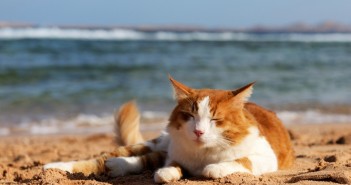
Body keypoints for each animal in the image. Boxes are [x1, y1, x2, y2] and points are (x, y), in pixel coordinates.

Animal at [45, 76, 296, 183]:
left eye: (215, 119)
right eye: (190, 116)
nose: (198, 132)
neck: (203, 153)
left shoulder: (265, 156)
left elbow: (239, 161)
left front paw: (213, 168)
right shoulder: (175, 155)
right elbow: (171, 165)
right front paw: (168, 173)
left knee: (143, 159)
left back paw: (118, 167)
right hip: (155, 143)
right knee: (109, 158)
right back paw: (54, 168)